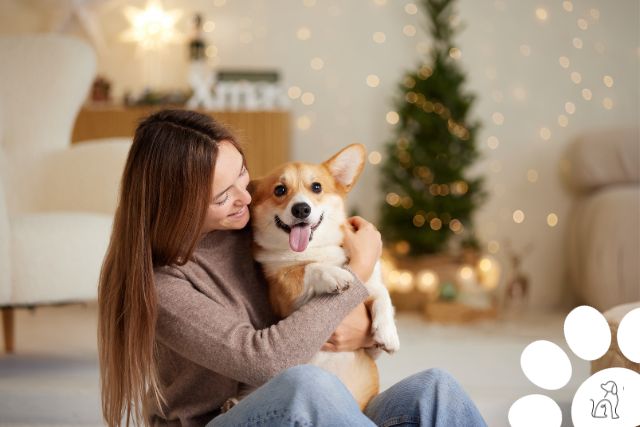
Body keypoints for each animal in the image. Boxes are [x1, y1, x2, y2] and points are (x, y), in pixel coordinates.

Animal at [248, 145, 398, 412]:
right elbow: (307, 269)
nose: (301, 209)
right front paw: (334, 274)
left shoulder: (371, 282)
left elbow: (383, 297)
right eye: (280, 190)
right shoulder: (282, 294)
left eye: (316, 187)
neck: (315, 248)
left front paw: (388, 334)